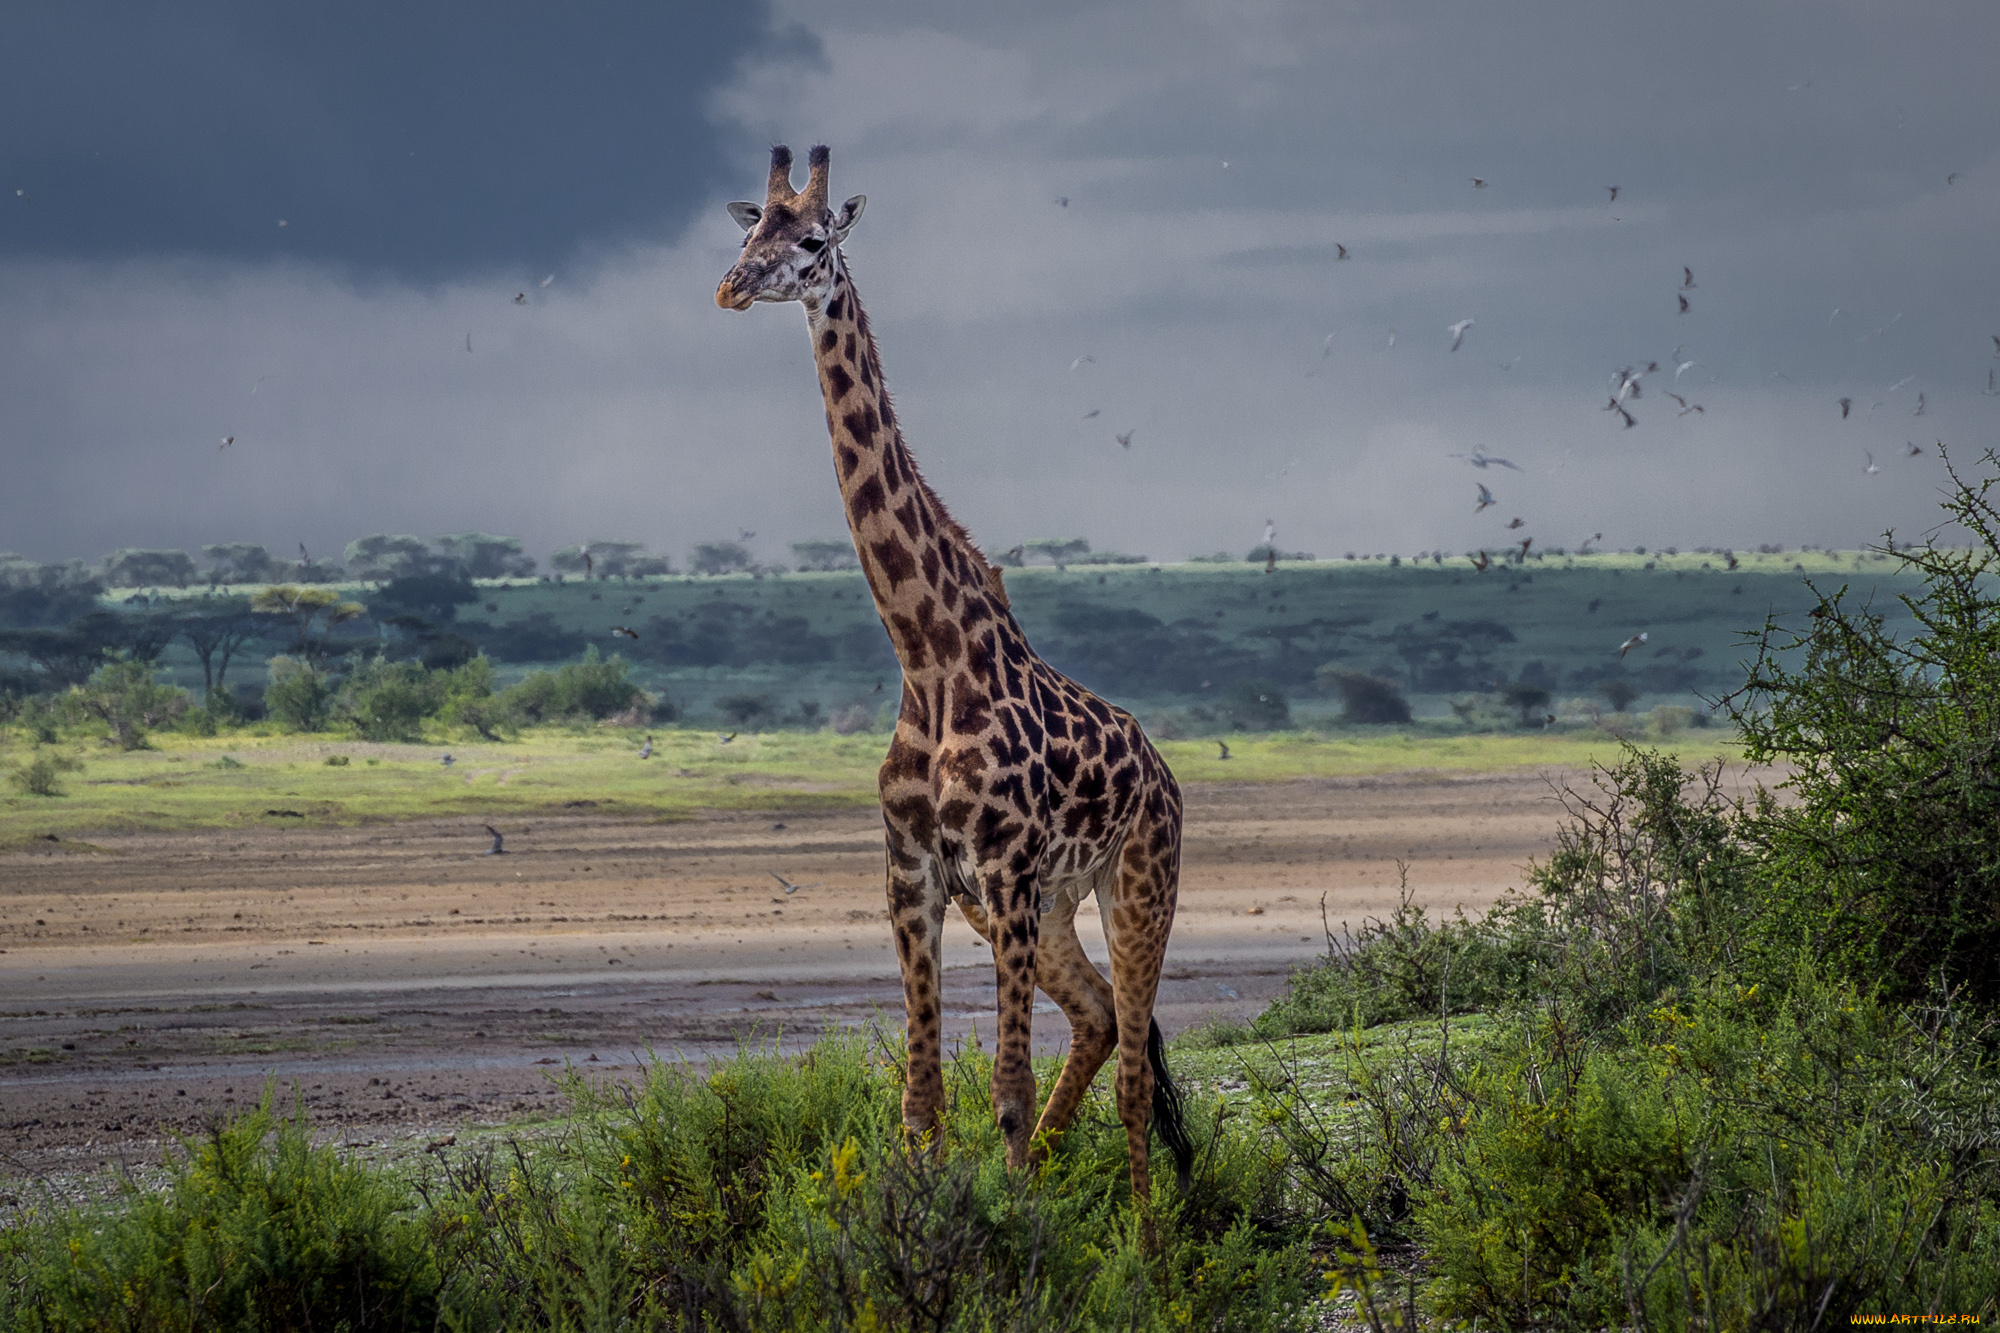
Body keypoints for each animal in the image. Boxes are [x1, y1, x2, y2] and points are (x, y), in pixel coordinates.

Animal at [716, 148, 1192, 1200]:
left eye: (813, 240)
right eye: (749, 228)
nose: (730, 286)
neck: (927, 652)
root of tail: (1165, 775)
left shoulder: (1007, 866)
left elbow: (1004, 1092)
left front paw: (1014, 1227)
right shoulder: (917, 871)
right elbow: (923, 1102)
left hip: (1136, 883)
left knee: (1136, 1072)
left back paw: (1146, 1234)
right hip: (1044, 909)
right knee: (1102, 1018)